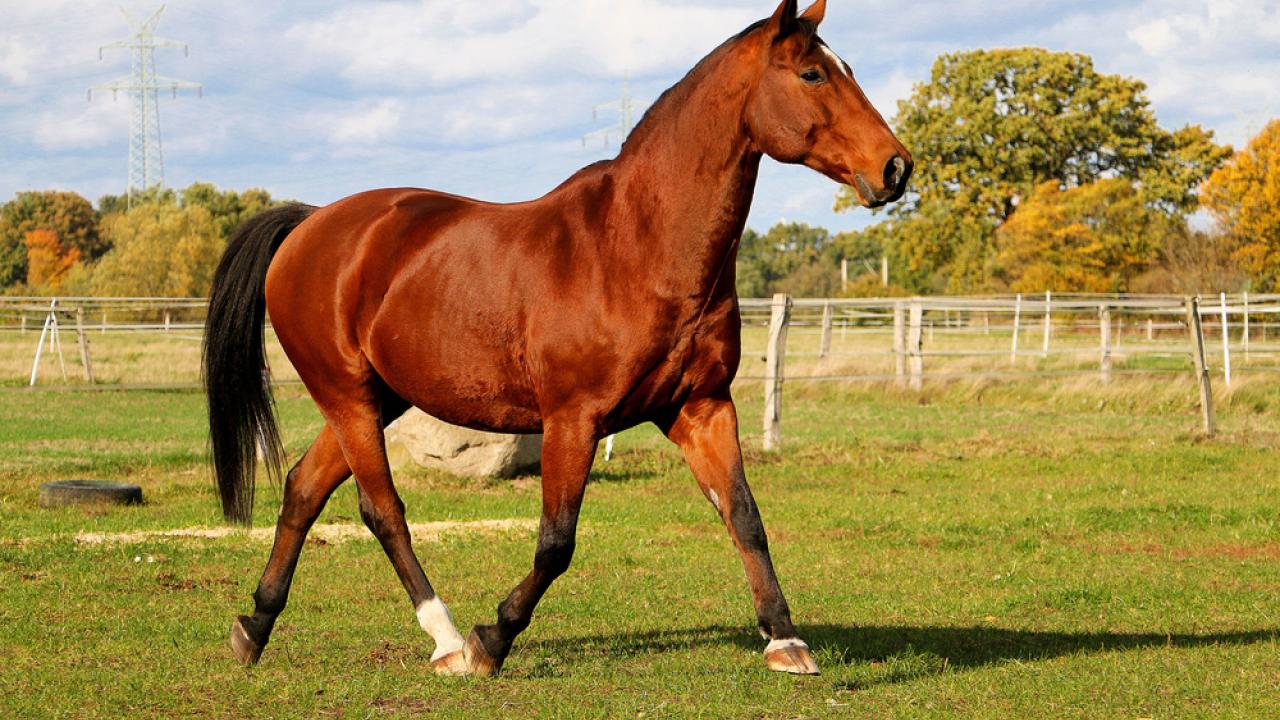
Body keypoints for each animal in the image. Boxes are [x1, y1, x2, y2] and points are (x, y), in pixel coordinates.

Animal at [202, 0, 911, 676]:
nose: (896, 168)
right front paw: (491, 640)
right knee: (383, 511)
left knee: (303, 489)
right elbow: (556, 542)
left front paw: (786, 640)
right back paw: (446, 641)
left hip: (375, 398)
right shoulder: (574, 420)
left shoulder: (701, 408)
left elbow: (745, 518)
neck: (637, 245)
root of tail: (310, 224)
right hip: (348, 397)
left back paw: (254, 627)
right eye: (813, 74)